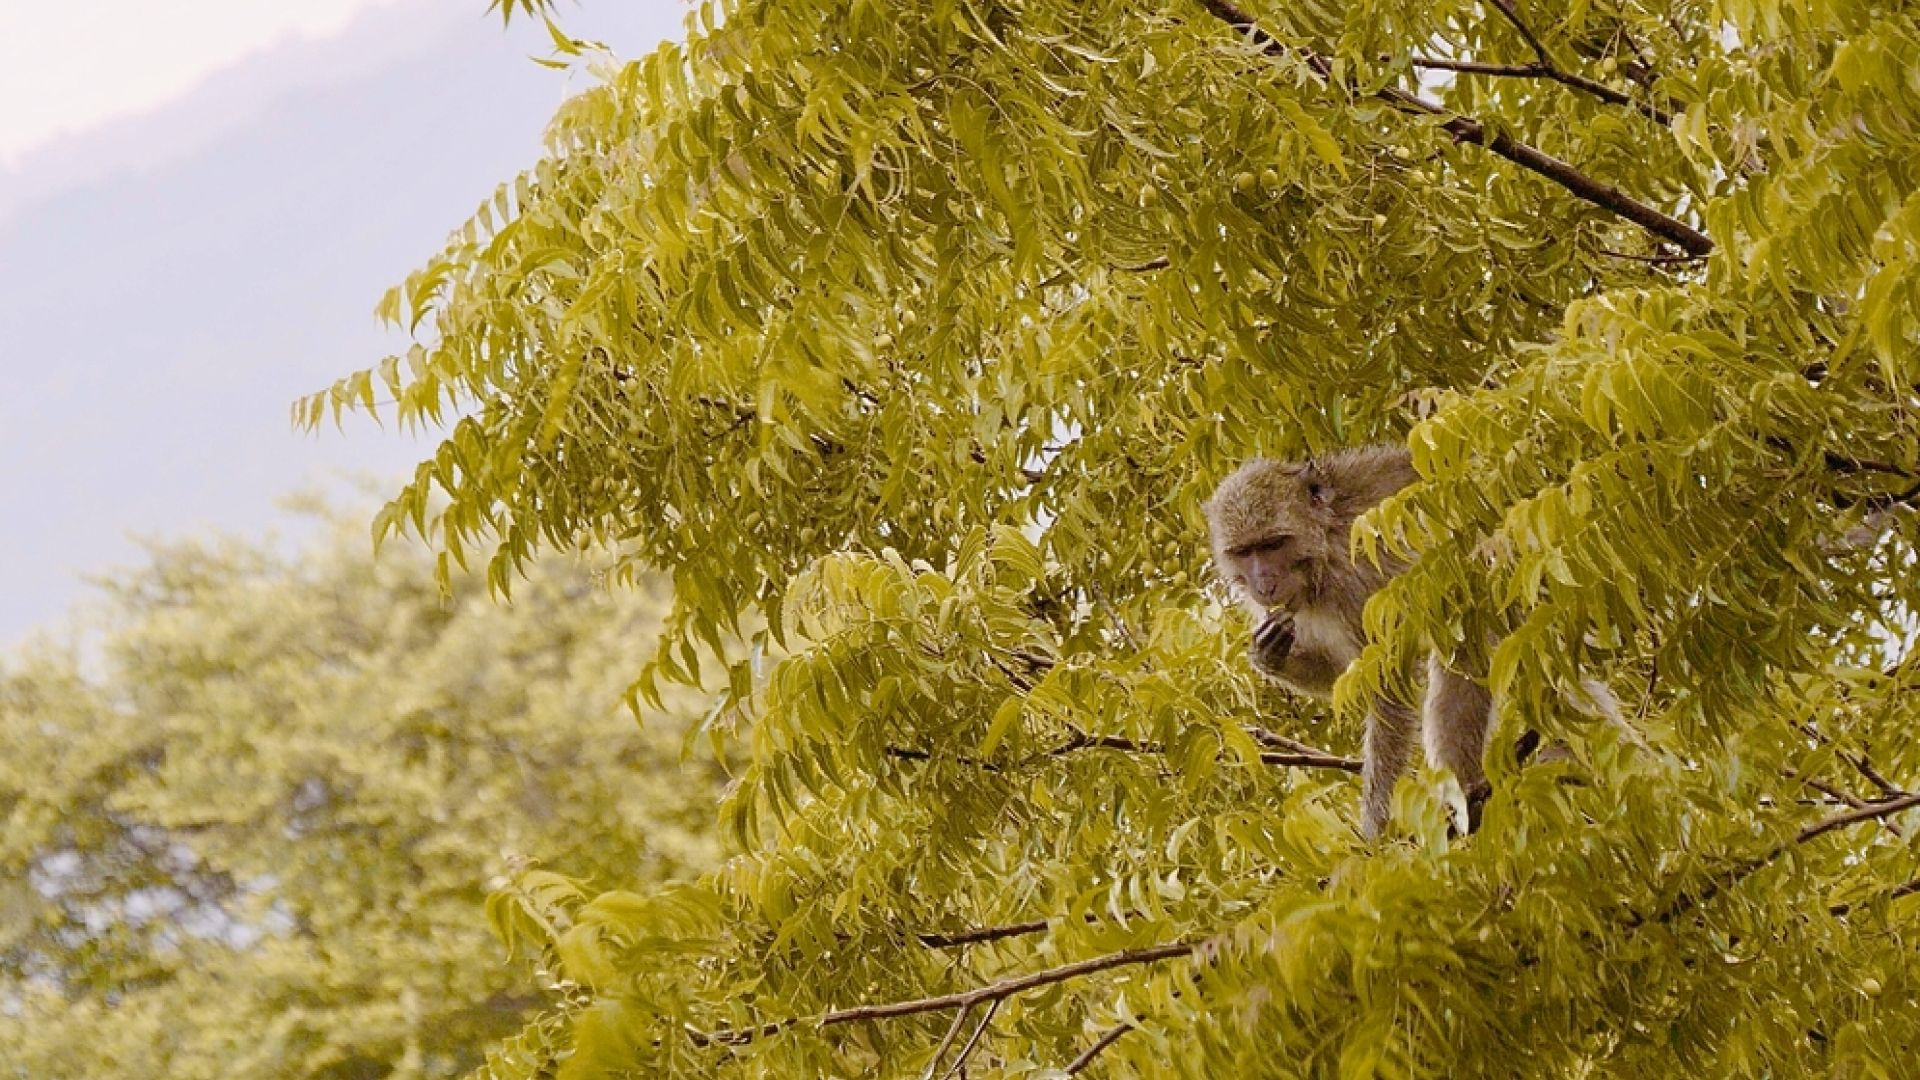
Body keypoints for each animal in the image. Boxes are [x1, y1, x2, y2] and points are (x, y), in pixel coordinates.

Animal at [1205, 441, 1505, 837]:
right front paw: (1269, 656)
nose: (1264, 583)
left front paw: (1376, 829)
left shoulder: (1358, 584)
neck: (1323, 545)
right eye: (1244, 551)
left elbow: (1387, 680)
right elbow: (1345, 674)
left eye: (1272, 544)